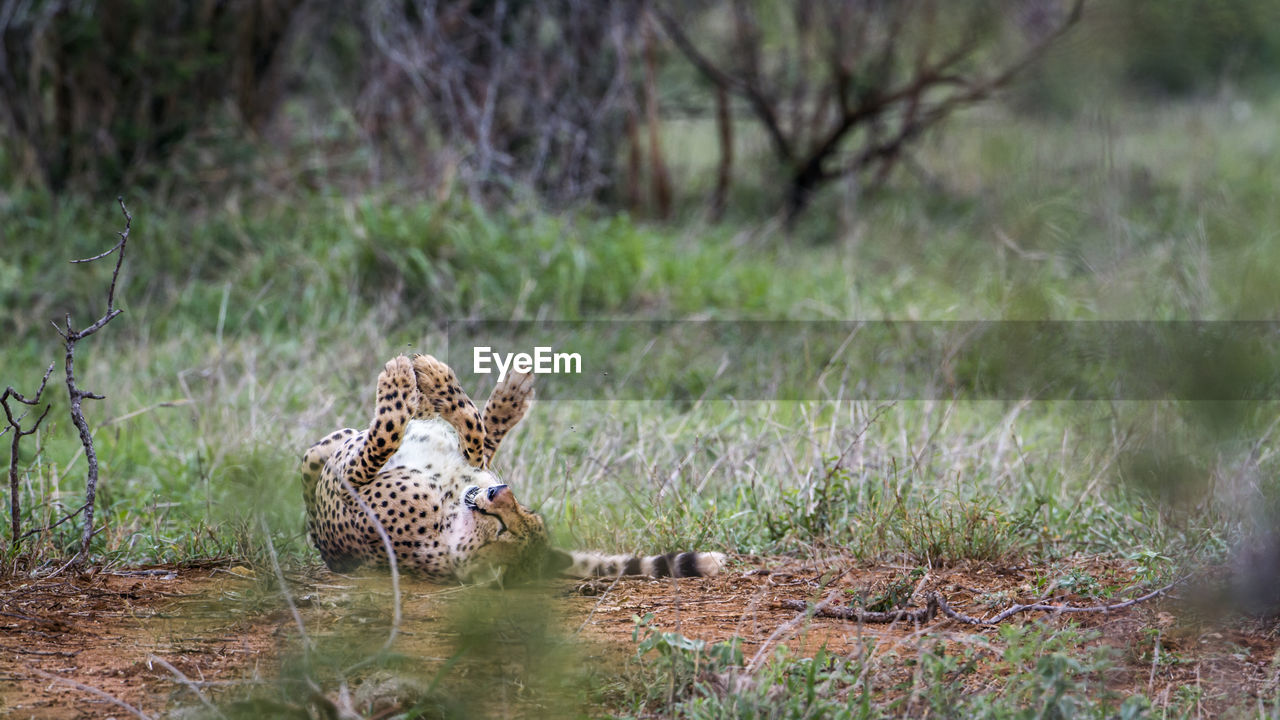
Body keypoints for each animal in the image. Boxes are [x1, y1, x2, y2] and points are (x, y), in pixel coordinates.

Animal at [294, 353, 727, 584]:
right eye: (523, 507)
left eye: (505, 527)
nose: (500, 493)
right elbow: (471, 431)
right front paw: (432, 382)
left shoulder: (349, 485)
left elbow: (384, 436)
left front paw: (400, 385)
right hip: (320, 451)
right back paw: (499, 391)